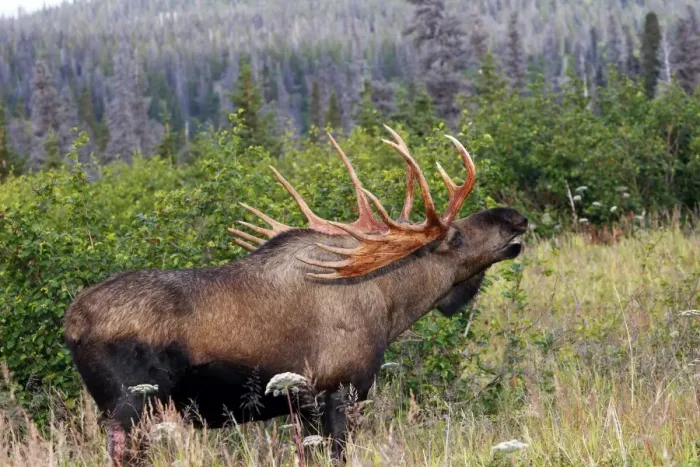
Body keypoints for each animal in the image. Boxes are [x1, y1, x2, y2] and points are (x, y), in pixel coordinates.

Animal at [64, 125, 528, 464]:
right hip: (132, 406)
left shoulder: (302, 407)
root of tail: (72, 326)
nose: (515, 217)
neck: (391, 308)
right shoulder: (339, 391)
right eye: (458, 236)